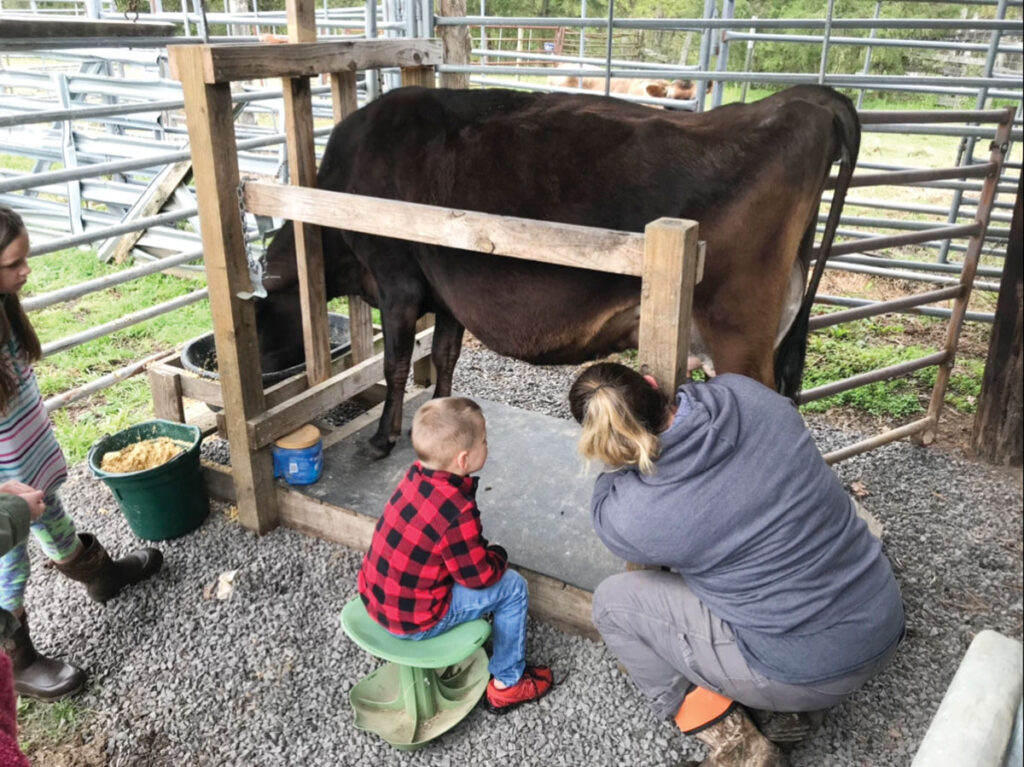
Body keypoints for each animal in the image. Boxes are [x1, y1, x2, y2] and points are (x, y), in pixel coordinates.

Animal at [253, 85, 856, 454]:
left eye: (263, 315)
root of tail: (807, 98)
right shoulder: (445, 294)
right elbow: (444, 356)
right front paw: (442, 413)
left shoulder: (396, 281)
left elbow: (396, 365)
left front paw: (382, 438)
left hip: (738, 332)